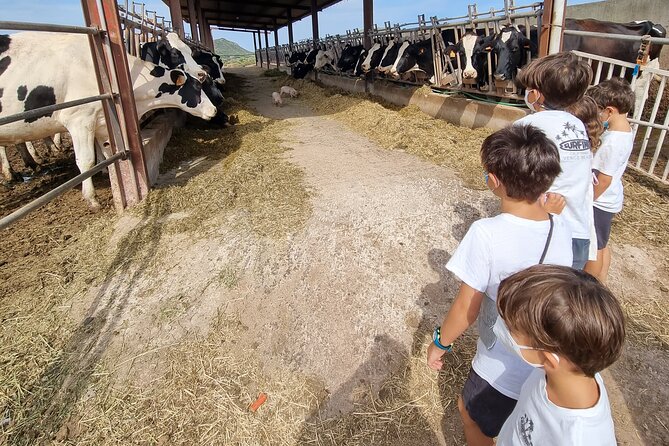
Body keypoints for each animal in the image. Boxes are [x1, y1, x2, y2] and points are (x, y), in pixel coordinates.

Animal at [0, 32, 215, 207]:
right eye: (174, 53)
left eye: (190, 50)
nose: (213, 110)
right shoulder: (79, 119)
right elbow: (85, 160)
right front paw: (92, 199)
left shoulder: (103, 123)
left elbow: (109, 153)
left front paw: (115, 181)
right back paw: (15, 172)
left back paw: (29, 165)